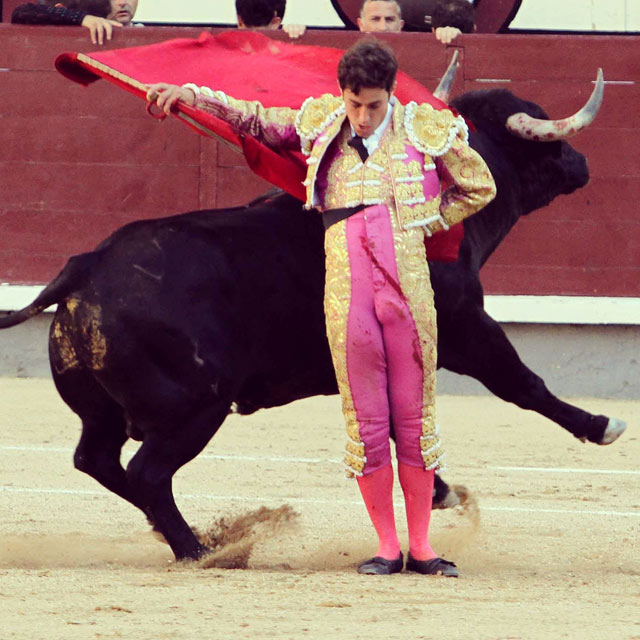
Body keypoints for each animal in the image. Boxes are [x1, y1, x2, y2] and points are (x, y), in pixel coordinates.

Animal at [0, 86, 624, 560]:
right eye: (547, 136)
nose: (582, 164)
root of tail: (85, 267)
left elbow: (394, 419)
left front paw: (441, 489)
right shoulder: (467, 328)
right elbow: (523, 384)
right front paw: (600, 425)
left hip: (105, 411)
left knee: (99, 461)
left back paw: (204, 538)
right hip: (196, 407)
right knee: (148, 474)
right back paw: (203, 551)